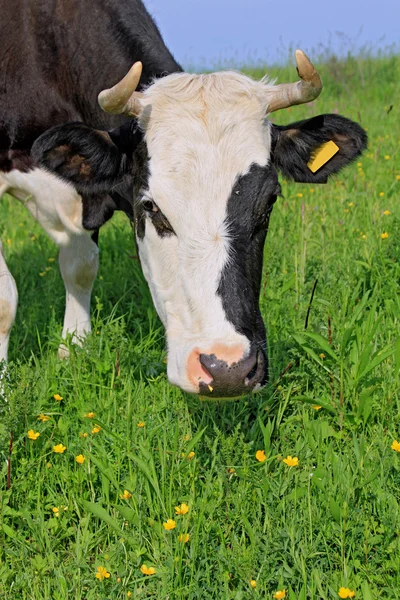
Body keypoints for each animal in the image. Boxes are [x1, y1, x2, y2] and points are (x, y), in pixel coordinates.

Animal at [0, 1, 368, 398]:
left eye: (269, 201)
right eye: (151, 206)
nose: (227, 368)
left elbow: (80, 266)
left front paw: (74, 350)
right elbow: (6, 298)